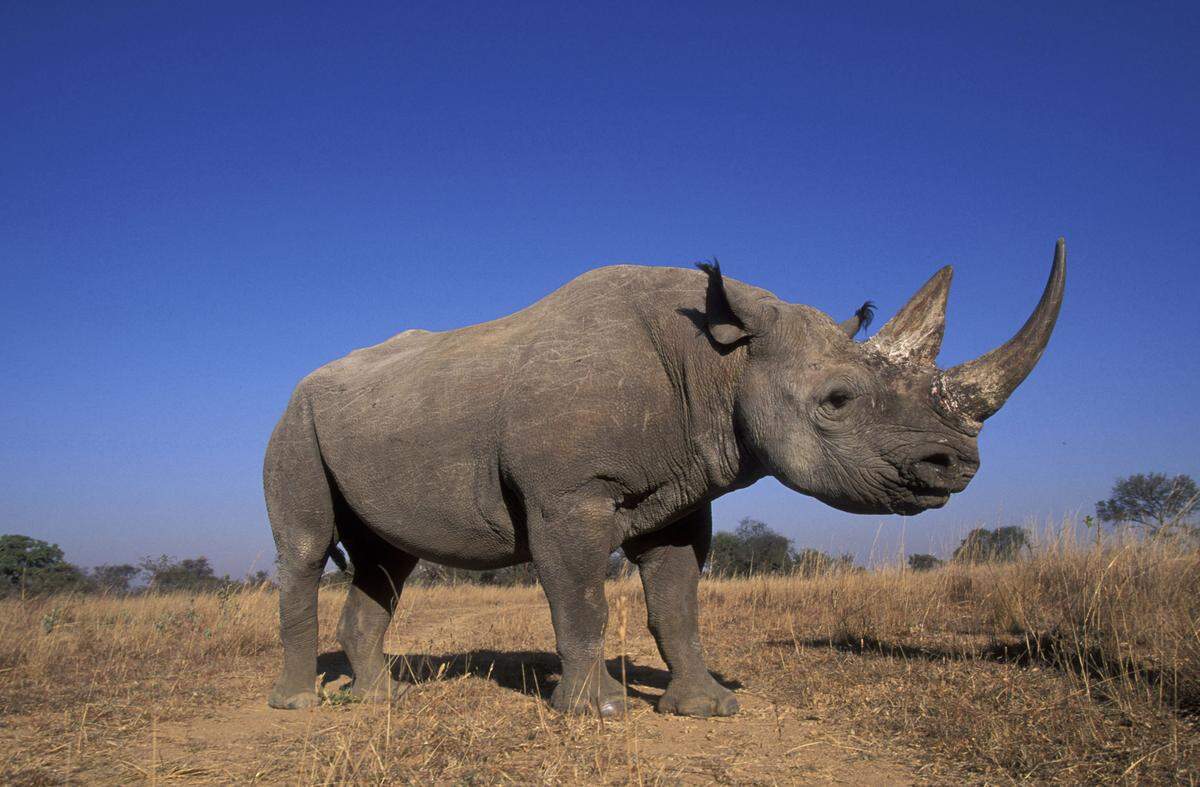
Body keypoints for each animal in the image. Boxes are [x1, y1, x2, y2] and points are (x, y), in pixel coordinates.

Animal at [264, 238, 1065, 717]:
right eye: (836, 402)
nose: (955, 464)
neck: (723, 357)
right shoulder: (569, 495)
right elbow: (582, 599)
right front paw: (595, 711)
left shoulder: (682, 493)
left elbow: (678, 603)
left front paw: (704, 707)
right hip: (293, 417)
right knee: (305, 549)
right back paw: (301, 706)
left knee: (387, 560)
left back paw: (374, 702)